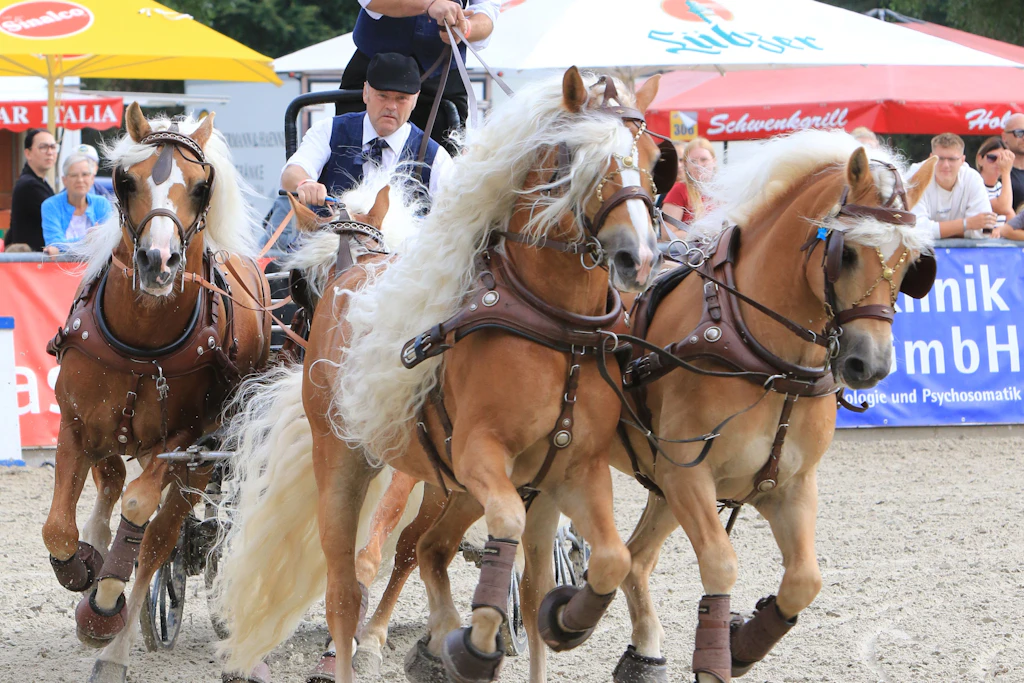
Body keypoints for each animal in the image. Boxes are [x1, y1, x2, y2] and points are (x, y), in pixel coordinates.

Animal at [42, 103, 272, 683]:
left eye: (202, 187)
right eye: (125, 181)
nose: (158, 262)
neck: (144, 342)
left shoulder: (185, 444)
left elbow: (141, 514)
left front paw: (102, 610)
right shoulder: (75, 424)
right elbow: (58, 529)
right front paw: (82, 565)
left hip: (200, 463)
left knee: (159, 539)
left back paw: (114, 645)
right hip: (114, 435)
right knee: (108, 481)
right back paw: (97, 544)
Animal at [215, 68, 669, 683]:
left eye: (653, 158)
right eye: (577, 157)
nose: (638, 257)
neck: (556, 330)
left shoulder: (575, 469)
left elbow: (608, 558)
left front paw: (562, 620)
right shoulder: (480, 455)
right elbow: (489, 530)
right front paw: (472, 639)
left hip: (449, 484)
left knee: (431, 548)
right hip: (345, 462)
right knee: (346, 587)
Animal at [599, 131, 938, 683]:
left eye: (913, 262)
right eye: (847, 254)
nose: (870, 364)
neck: (769, 360)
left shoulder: (789, 486)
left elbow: (805, 579)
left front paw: (742, 644)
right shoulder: (686, 476)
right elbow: (720, 563)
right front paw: (718, 653)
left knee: (635, 559)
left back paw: (640, 651)